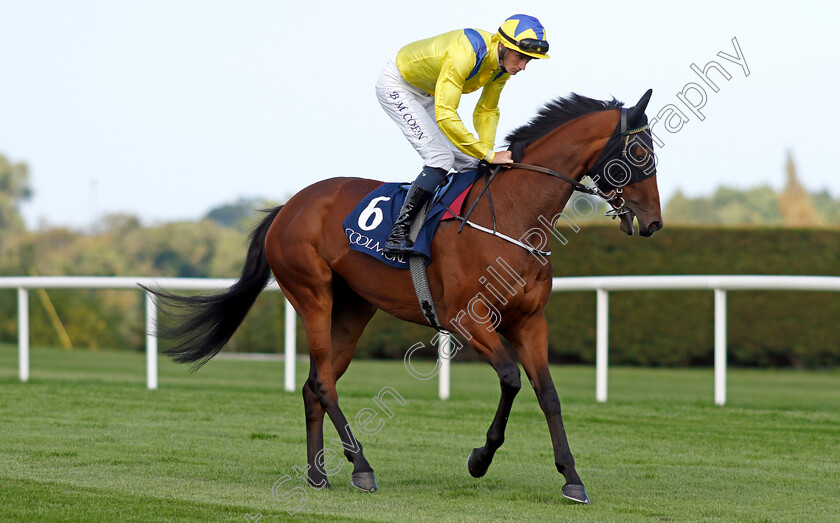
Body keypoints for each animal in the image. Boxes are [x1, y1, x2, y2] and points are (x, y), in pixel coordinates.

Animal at [144, 91, 664, 508]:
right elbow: (512, 379)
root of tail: (288, 206)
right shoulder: (467, 319)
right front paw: (479, 459)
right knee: (324, 383)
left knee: (314, 383)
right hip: (312, 294)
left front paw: (572, 478)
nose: (654, 222)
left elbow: (548, 395)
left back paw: (317, 475)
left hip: (354, 309)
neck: (513, 215)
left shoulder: (530, 321)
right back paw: (361, 468)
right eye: (640, 151)